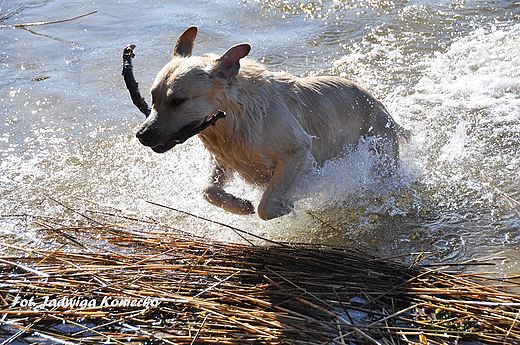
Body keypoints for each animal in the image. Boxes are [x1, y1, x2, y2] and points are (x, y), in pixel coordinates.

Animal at [136, 26, 404, 220]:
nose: (142, 135)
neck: (238, 117)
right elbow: (208, 191)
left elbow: (265, 205)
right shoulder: (223, 158)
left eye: (178, 101)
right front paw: (241, 205)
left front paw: (282, 206)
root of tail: (384, 109)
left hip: (381, 153)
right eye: (153, 97)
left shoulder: (298, 152)